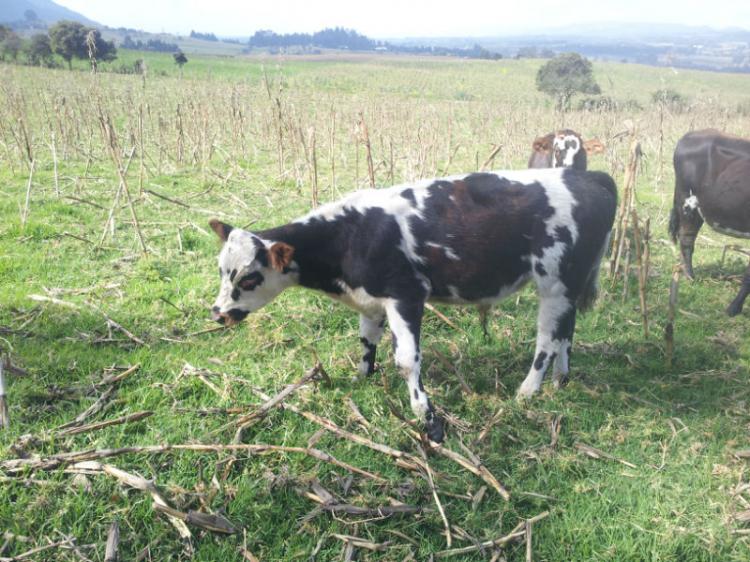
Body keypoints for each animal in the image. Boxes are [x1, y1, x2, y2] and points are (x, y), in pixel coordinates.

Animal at [210, 168, 616, 440]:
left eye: (248, 278)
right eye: (221, 269)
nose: (218, 315)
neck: (352, 235)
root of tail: (587, 175)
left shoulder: (405, 296)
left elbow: (407, 361)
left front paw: (427, 417)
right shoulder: (371, 300)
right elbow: (366, 342)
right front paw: (361, 379)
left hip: (555, 283)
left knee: (547, 340)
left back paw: (528, 391)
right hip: (569, 287)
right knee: (566, 330)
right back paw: (561, 379)